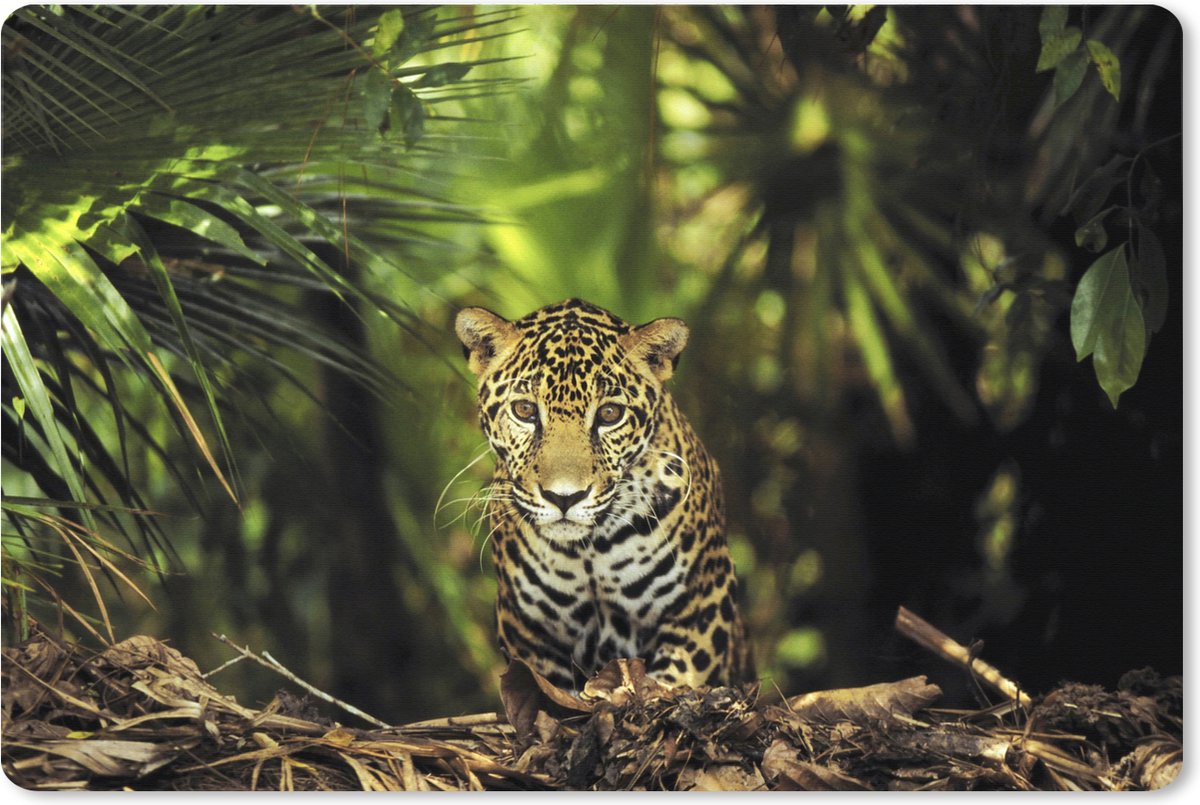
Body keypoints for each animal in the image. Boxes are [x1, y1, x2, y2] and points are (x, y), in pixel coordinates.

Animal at [455, 298, 753, 690]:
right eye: (524, 410)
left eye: (610, 414)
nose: (564, 498)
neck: (590, 551)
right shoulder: (528, 631)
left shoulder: (704, 603)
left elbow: (677, 681)